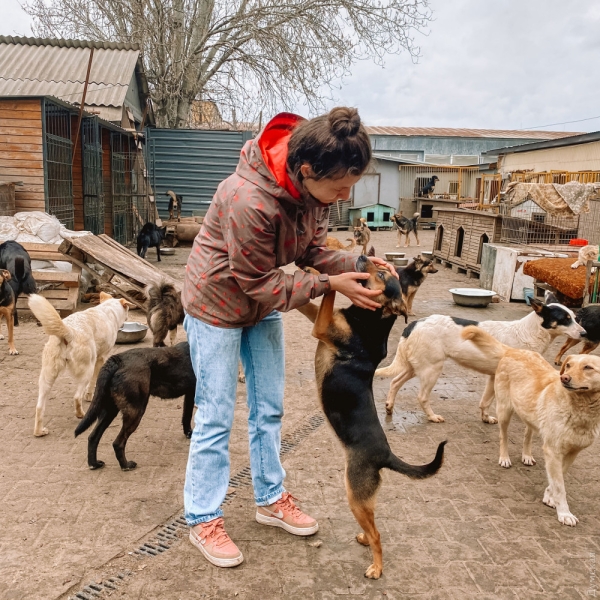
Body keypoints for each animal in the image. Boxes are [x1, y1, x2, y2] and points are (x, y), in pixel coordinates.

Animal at [29, 294, 134, 438]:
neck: (109, 310)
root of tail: (69, 332)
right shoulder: (101, 358)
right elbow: (93, 383)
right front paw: (89, 396)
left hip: (47, 375)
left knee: (39, 407)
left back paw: (39, 431)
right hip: (87, 369)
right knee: (77, 397)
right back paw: (81, 415)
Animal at [74, 340, 197, 472]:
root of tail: (117, 359)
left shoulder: (190, 394)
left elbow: (186, 417)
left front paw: (189, 434)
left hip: (109, 411)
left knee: (93, 437)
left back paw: (94, 464)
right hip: (136, 412)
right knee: (118, 443)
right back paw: (126, 466)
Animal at [296, 255, 446, 580]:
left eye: (382, 275)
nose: (363, 256)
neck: (372, 320)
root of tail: (385, 455)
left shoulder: (322, 328)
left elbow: (329, 296)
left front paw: (319, 274)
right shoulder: (320, 322)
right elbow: (311, 303)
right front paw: (310, 273)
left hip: (354, 493)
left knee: (378, 535)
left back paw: (377, 567)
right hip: (363, 499)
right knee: (374, 525)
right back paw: (365, 539)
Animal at [378, 292, 584, 424]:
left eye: (574, 317)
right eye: (565, 319)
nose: (584, 333)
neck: (528, 333)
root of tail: (414, 323)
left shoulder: (493, 377)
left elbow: (485, 401)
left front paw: (485, 418)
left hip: (415, 366)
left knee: (395, 382)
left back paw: (389, 406)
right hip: (431, 370)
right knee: (421, 397)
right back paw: (432, 416)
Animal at [462, 326, 600, 528]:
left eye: (588, 367)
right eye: (568, 365)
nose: (564, 378)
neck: (580, 410)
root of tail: (513, 351)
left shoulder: (572, 452)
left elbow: (558, 479)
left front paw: (549, 497)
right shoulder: (553, 451)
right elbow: (560, 486)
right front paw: (564, 512)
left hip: (530, 413)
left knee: (527, 435)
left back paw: (526, 455)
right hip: (504, 410)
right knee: (503, 436)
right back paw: (504, 458)